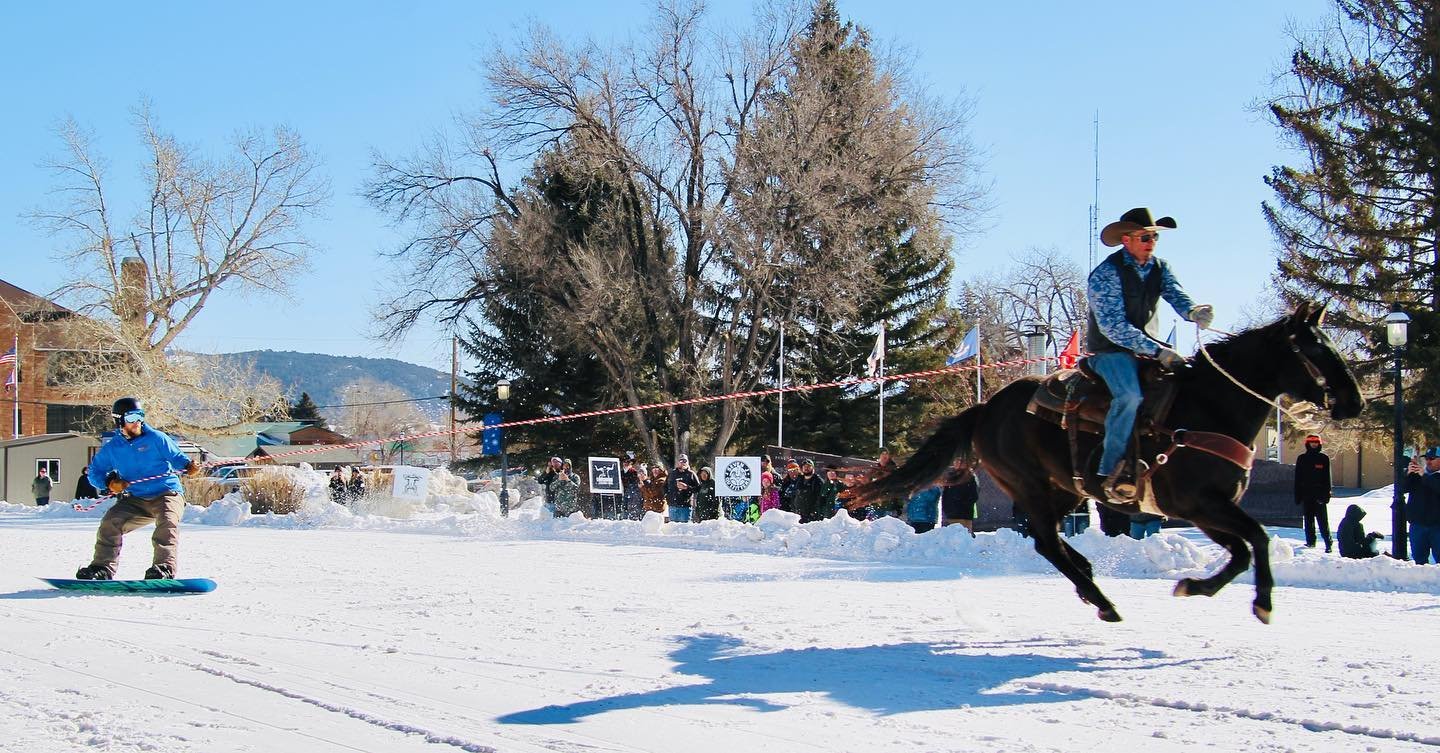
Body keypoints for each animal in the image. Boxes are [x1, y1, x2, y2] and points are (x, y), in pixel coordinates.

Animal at [846, 306, 1365, 624]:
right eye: (1314, 348)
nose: (1355, 401)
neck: (1208, 407)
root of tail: (986, 408)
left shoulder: (1203, 509)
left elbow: (1243, 549)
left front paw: (1196, 588)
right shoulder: (1200, 503)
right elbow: (1256, 538)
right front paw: (1260, 604)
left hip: (1063, 489)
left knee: (1051, 542)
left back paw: (1089, 579)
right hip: (1032, 485)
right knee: (1047, 543)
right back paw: (1101, 599)